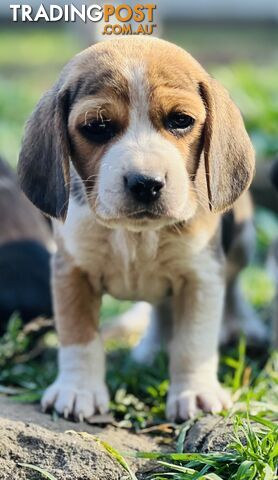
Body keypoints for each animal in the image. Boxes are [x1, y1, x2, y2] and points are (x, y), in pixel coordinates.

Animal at [17, 38, 254, 420]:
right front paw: (78, 389)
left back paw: (243, 325)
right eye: (97, 126)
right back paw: (152, 348)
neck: (135, 234)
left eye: (181, 121)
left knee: (231, 288)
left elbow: (193, 340)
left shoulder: (201, 275)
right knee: (161, 311)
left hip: (242, 244)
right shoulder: (72, 270)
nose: (146, 183)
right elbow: (78, 335)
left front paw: (195, 392)